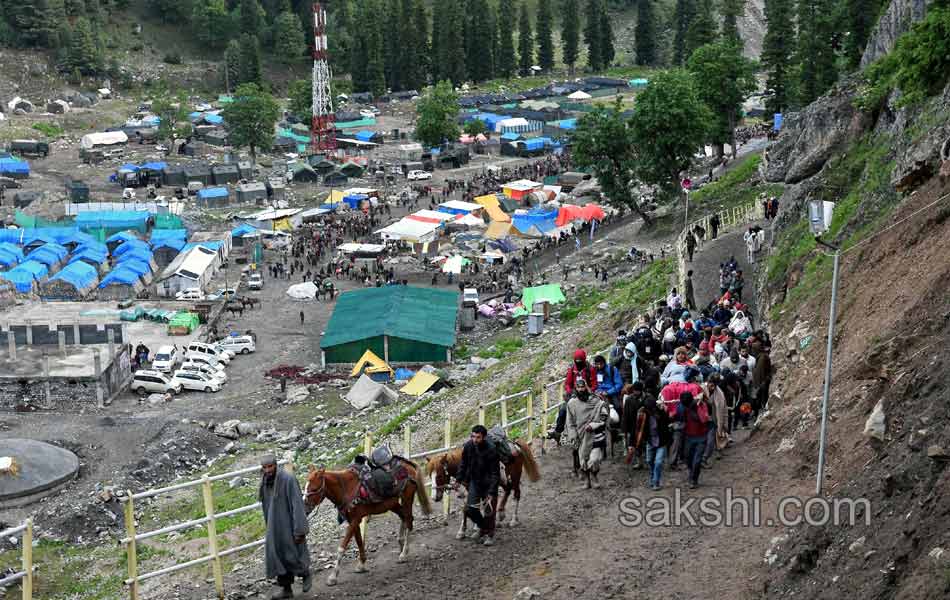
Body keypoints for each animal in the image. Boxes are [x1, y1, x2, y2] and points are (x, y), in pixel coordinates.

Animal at [304, 464, 432, 584]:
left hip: (407, 498)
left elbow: (342, 547)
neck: (346, 488)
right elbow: (359, 542)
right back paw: (401, 545)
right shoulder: (353, 521)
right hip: (393, 504)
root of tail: (410, 467)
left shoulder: (355, 520)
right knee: (404, 517)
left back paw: (404, 553)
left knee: (409, 520)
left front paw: (333, 576)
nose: (305, 508)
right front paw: (361, 565)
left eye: (314, 488)